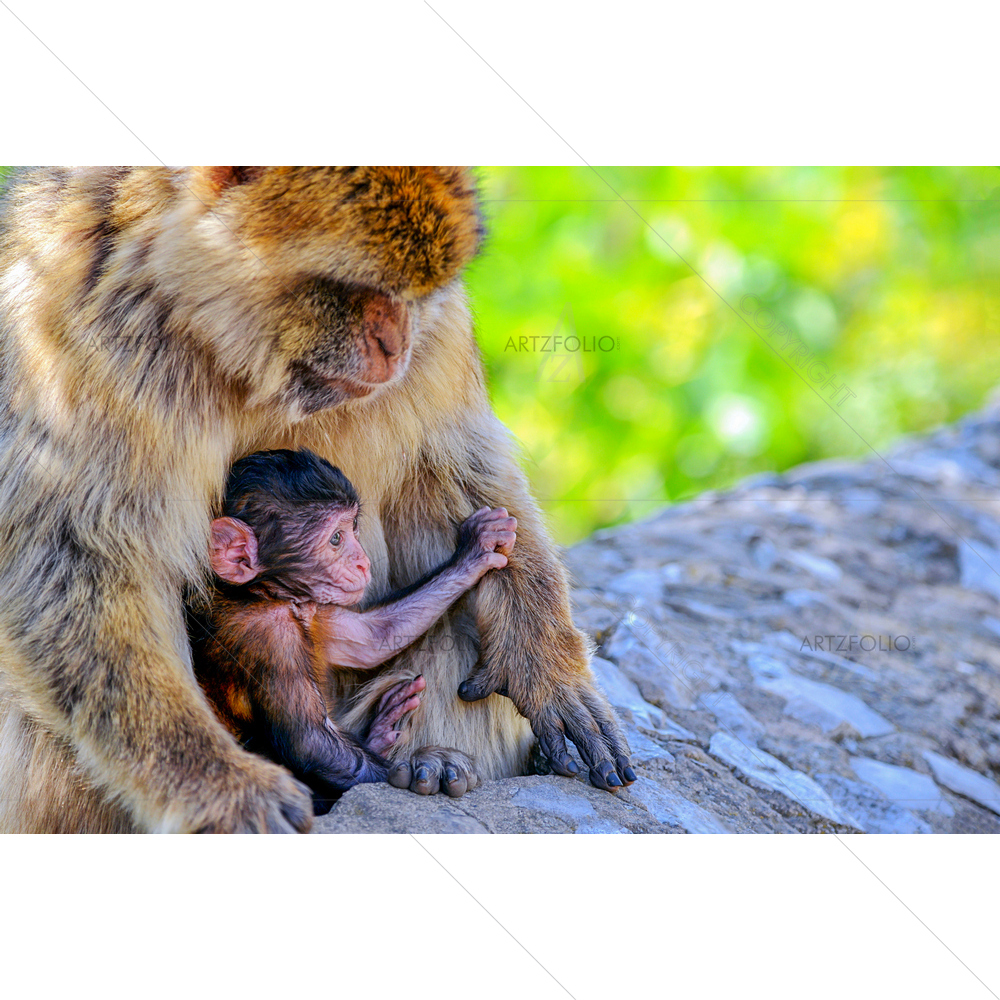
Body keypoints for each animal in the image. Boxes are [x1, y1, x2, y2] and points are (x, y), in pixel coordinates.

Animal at [191, 447, 516, 811]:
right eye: (336, 539)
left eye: (353, 527)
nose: (362, 562)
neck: (262, 594)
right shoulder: (270, 636)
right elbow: (311, 745)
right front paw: (426, 768)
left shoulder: (315, 608)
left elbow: (375, 638)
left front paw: (475, 551)